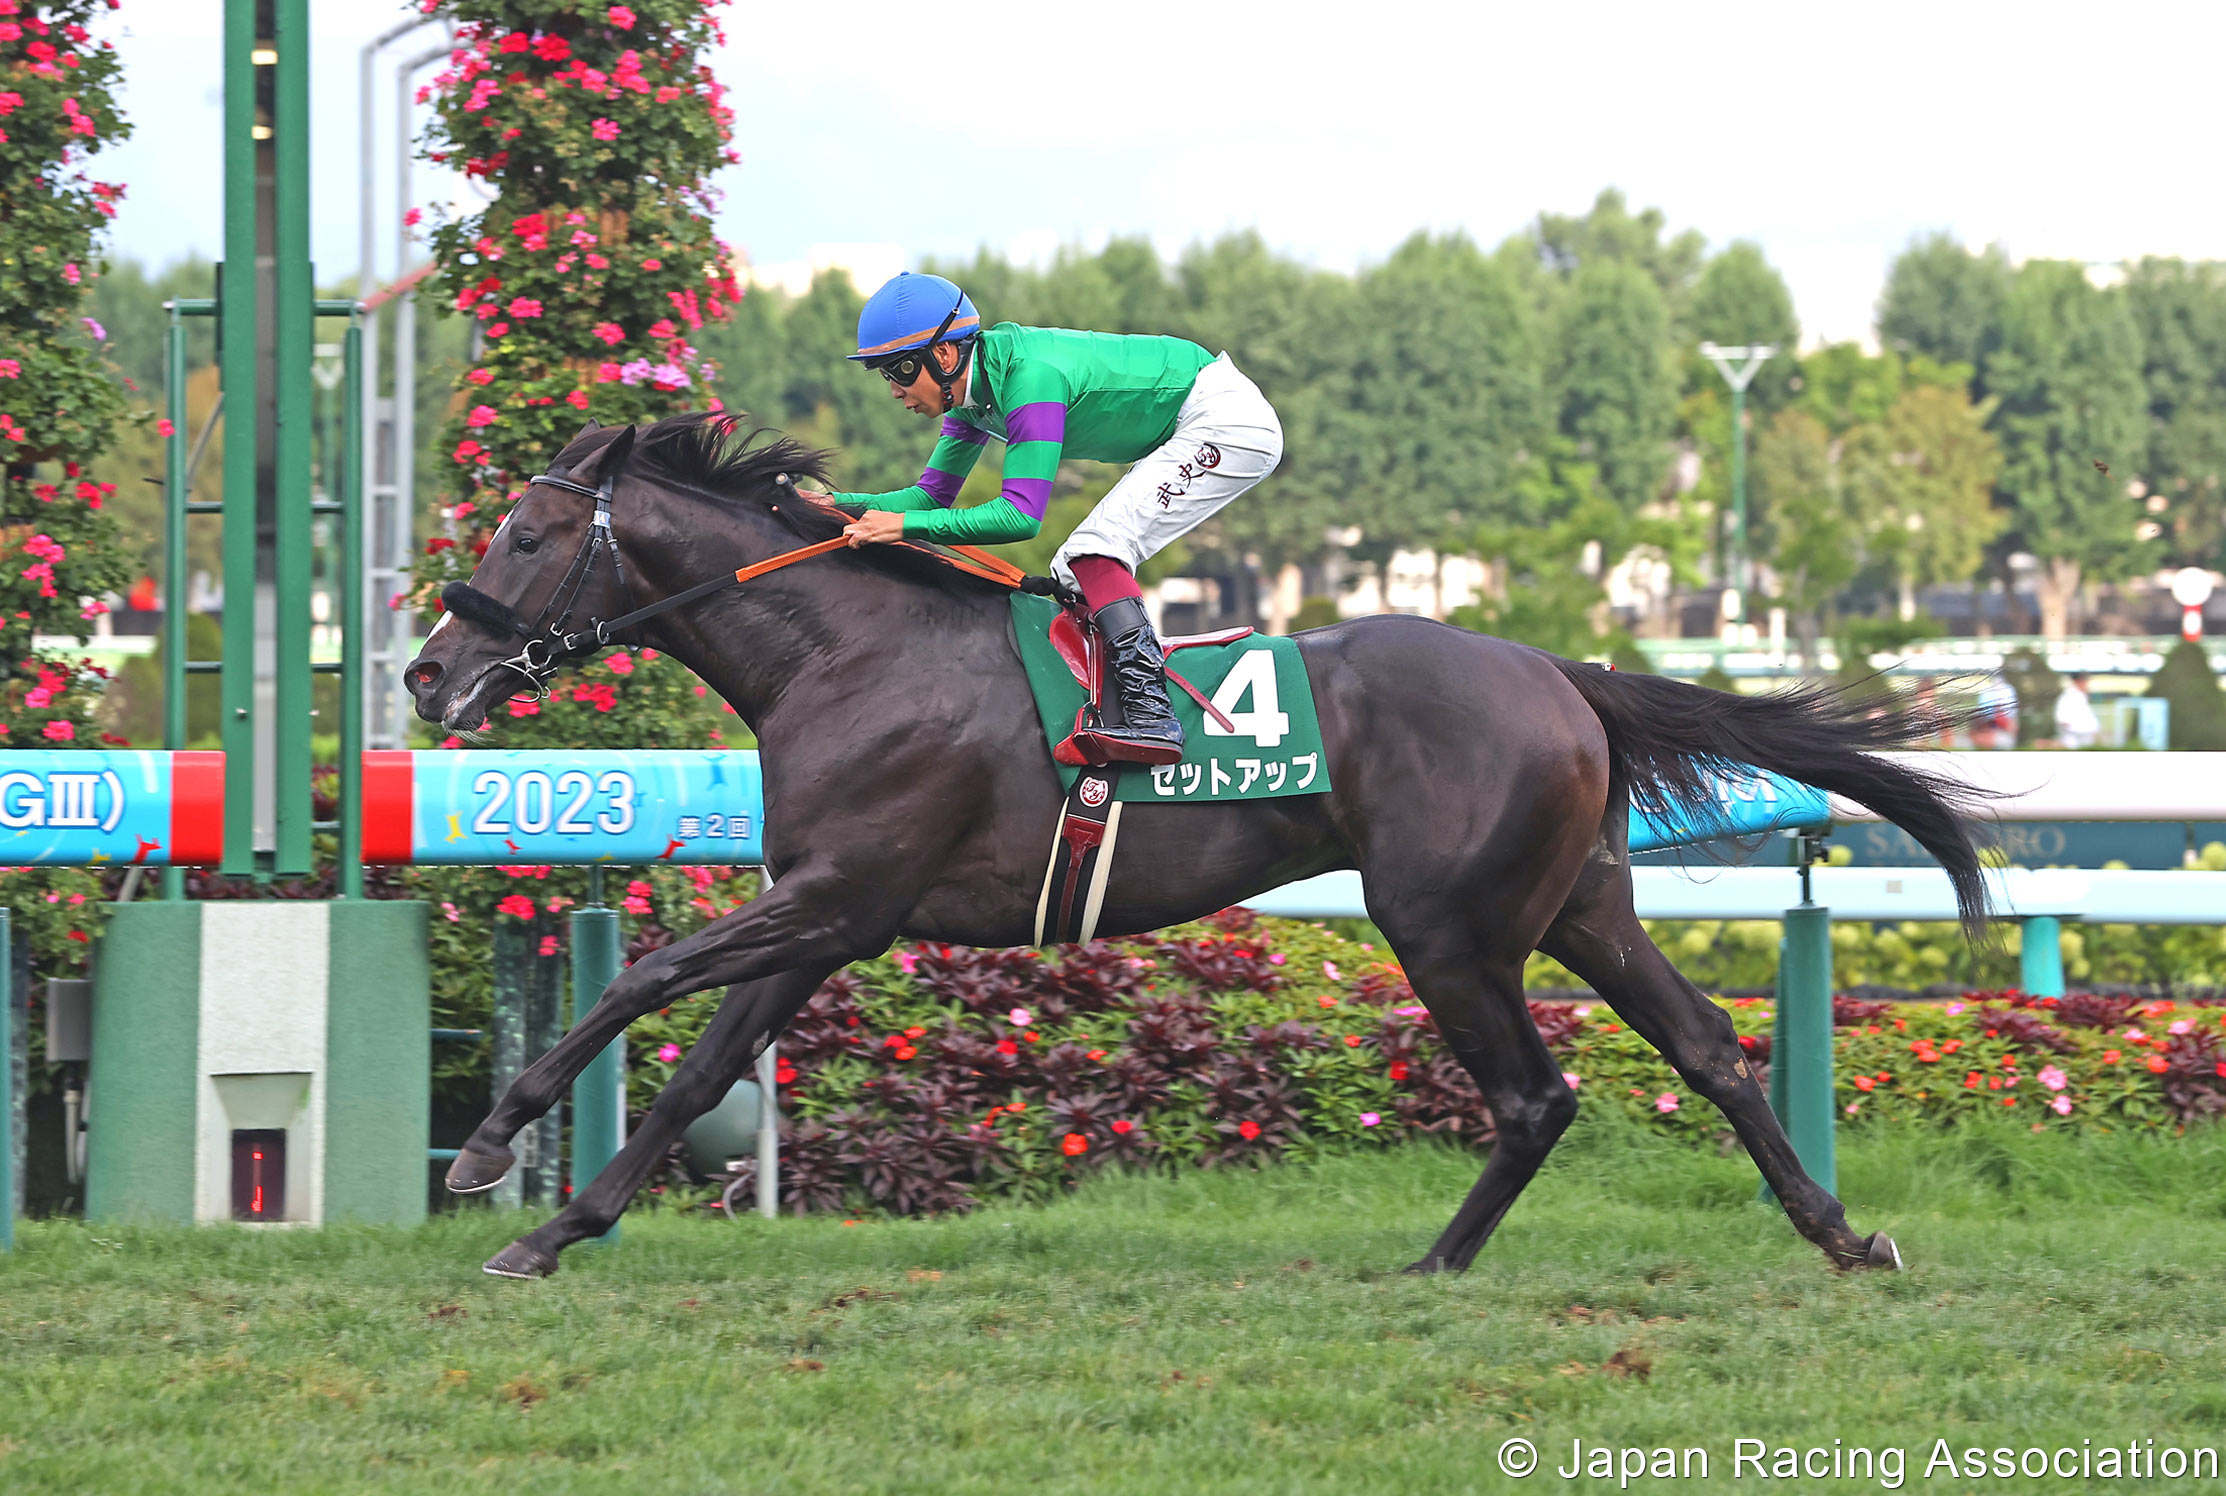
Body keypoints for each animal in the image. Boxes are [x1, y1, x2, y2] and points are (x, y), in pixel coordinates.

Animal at [409, 414, 1994, 1282]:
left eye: (527, 534)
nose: (429, 677)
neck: (843, 655)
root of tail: (1559, 668)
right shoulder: (831, 910)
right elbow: (701, 1068)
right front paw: (557, 1227)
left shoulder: (837, 893)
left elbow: (639, 987)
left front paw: (489, 1150)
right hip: (1577, 903)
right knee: (1709, 1048)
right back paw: (1840, 1232)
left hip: (1444, 920)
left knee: (1534, 1096)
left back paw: (1432, 1261)